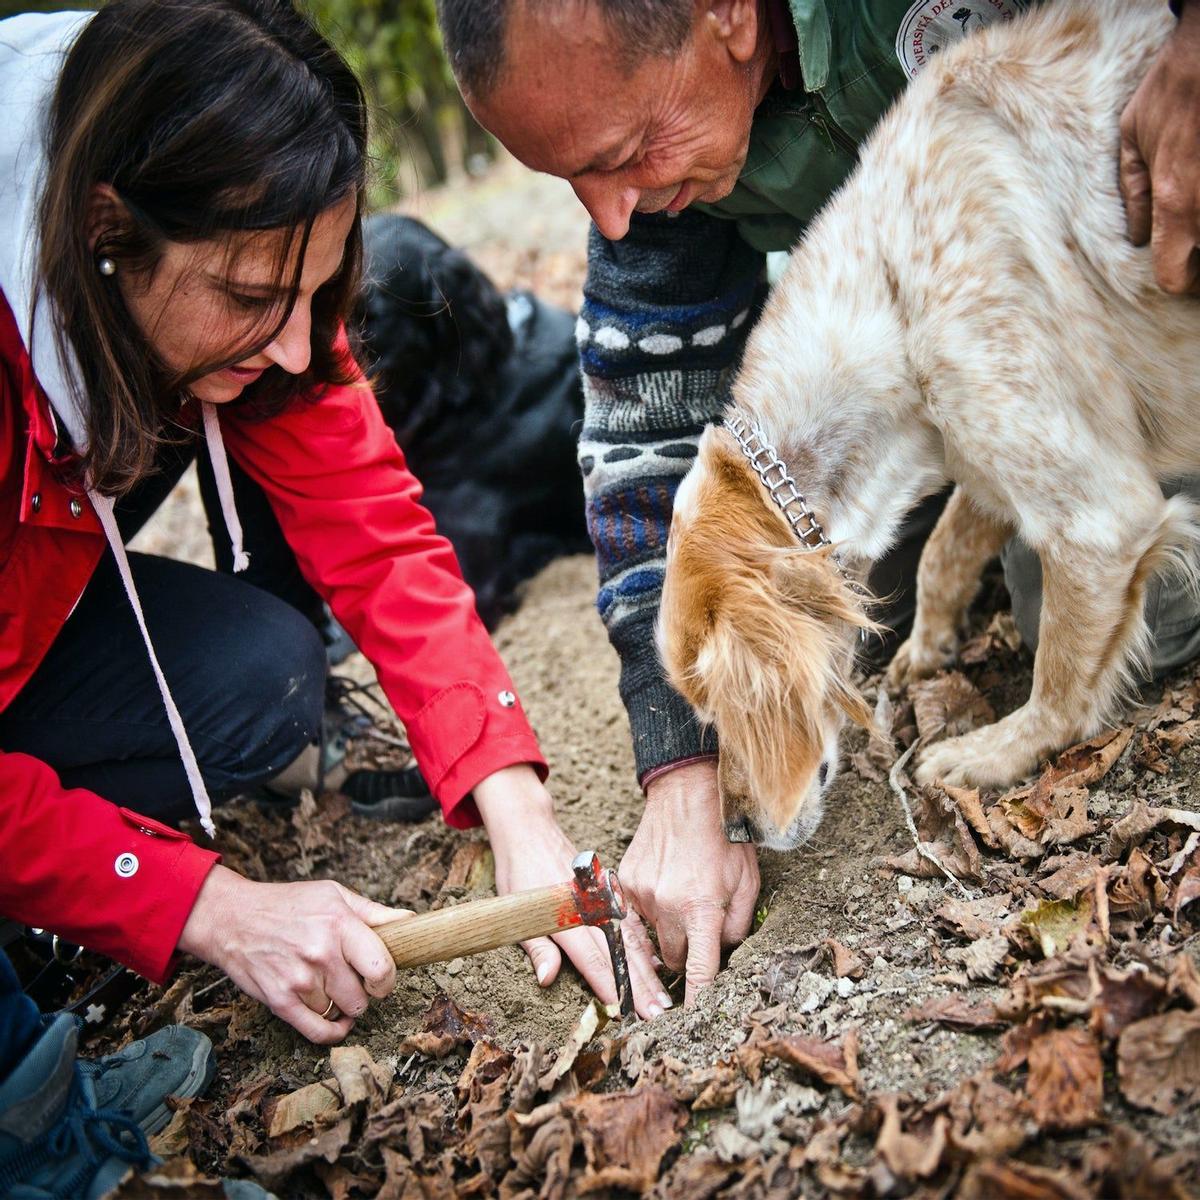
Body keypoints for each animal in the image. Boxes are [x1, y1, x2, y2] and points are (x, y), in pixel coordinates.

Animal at [657, 0, 1200, 849]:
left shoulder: (1098, 520)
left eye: (723, 707)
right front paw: (927, 645)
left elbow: (1062, 683)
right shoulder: (982, 448)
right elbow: (943, 551)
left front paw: (990, 753)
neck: (892, 298)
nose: (736, 831)